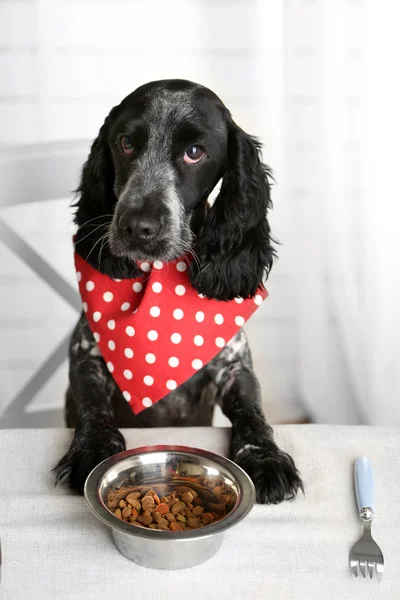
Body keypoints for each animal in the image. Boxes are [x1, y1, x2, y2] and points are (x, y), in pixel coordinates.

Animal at [53, 77, 304, 504]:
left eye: (194, 153)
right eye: (125, 143)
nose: (137, 226)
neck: (159, 282)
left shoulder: (236, 369)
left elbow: (253, 413)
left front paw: (265, 457)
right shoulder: (86, 359)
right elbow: (92, 403)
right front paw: (92, 448)